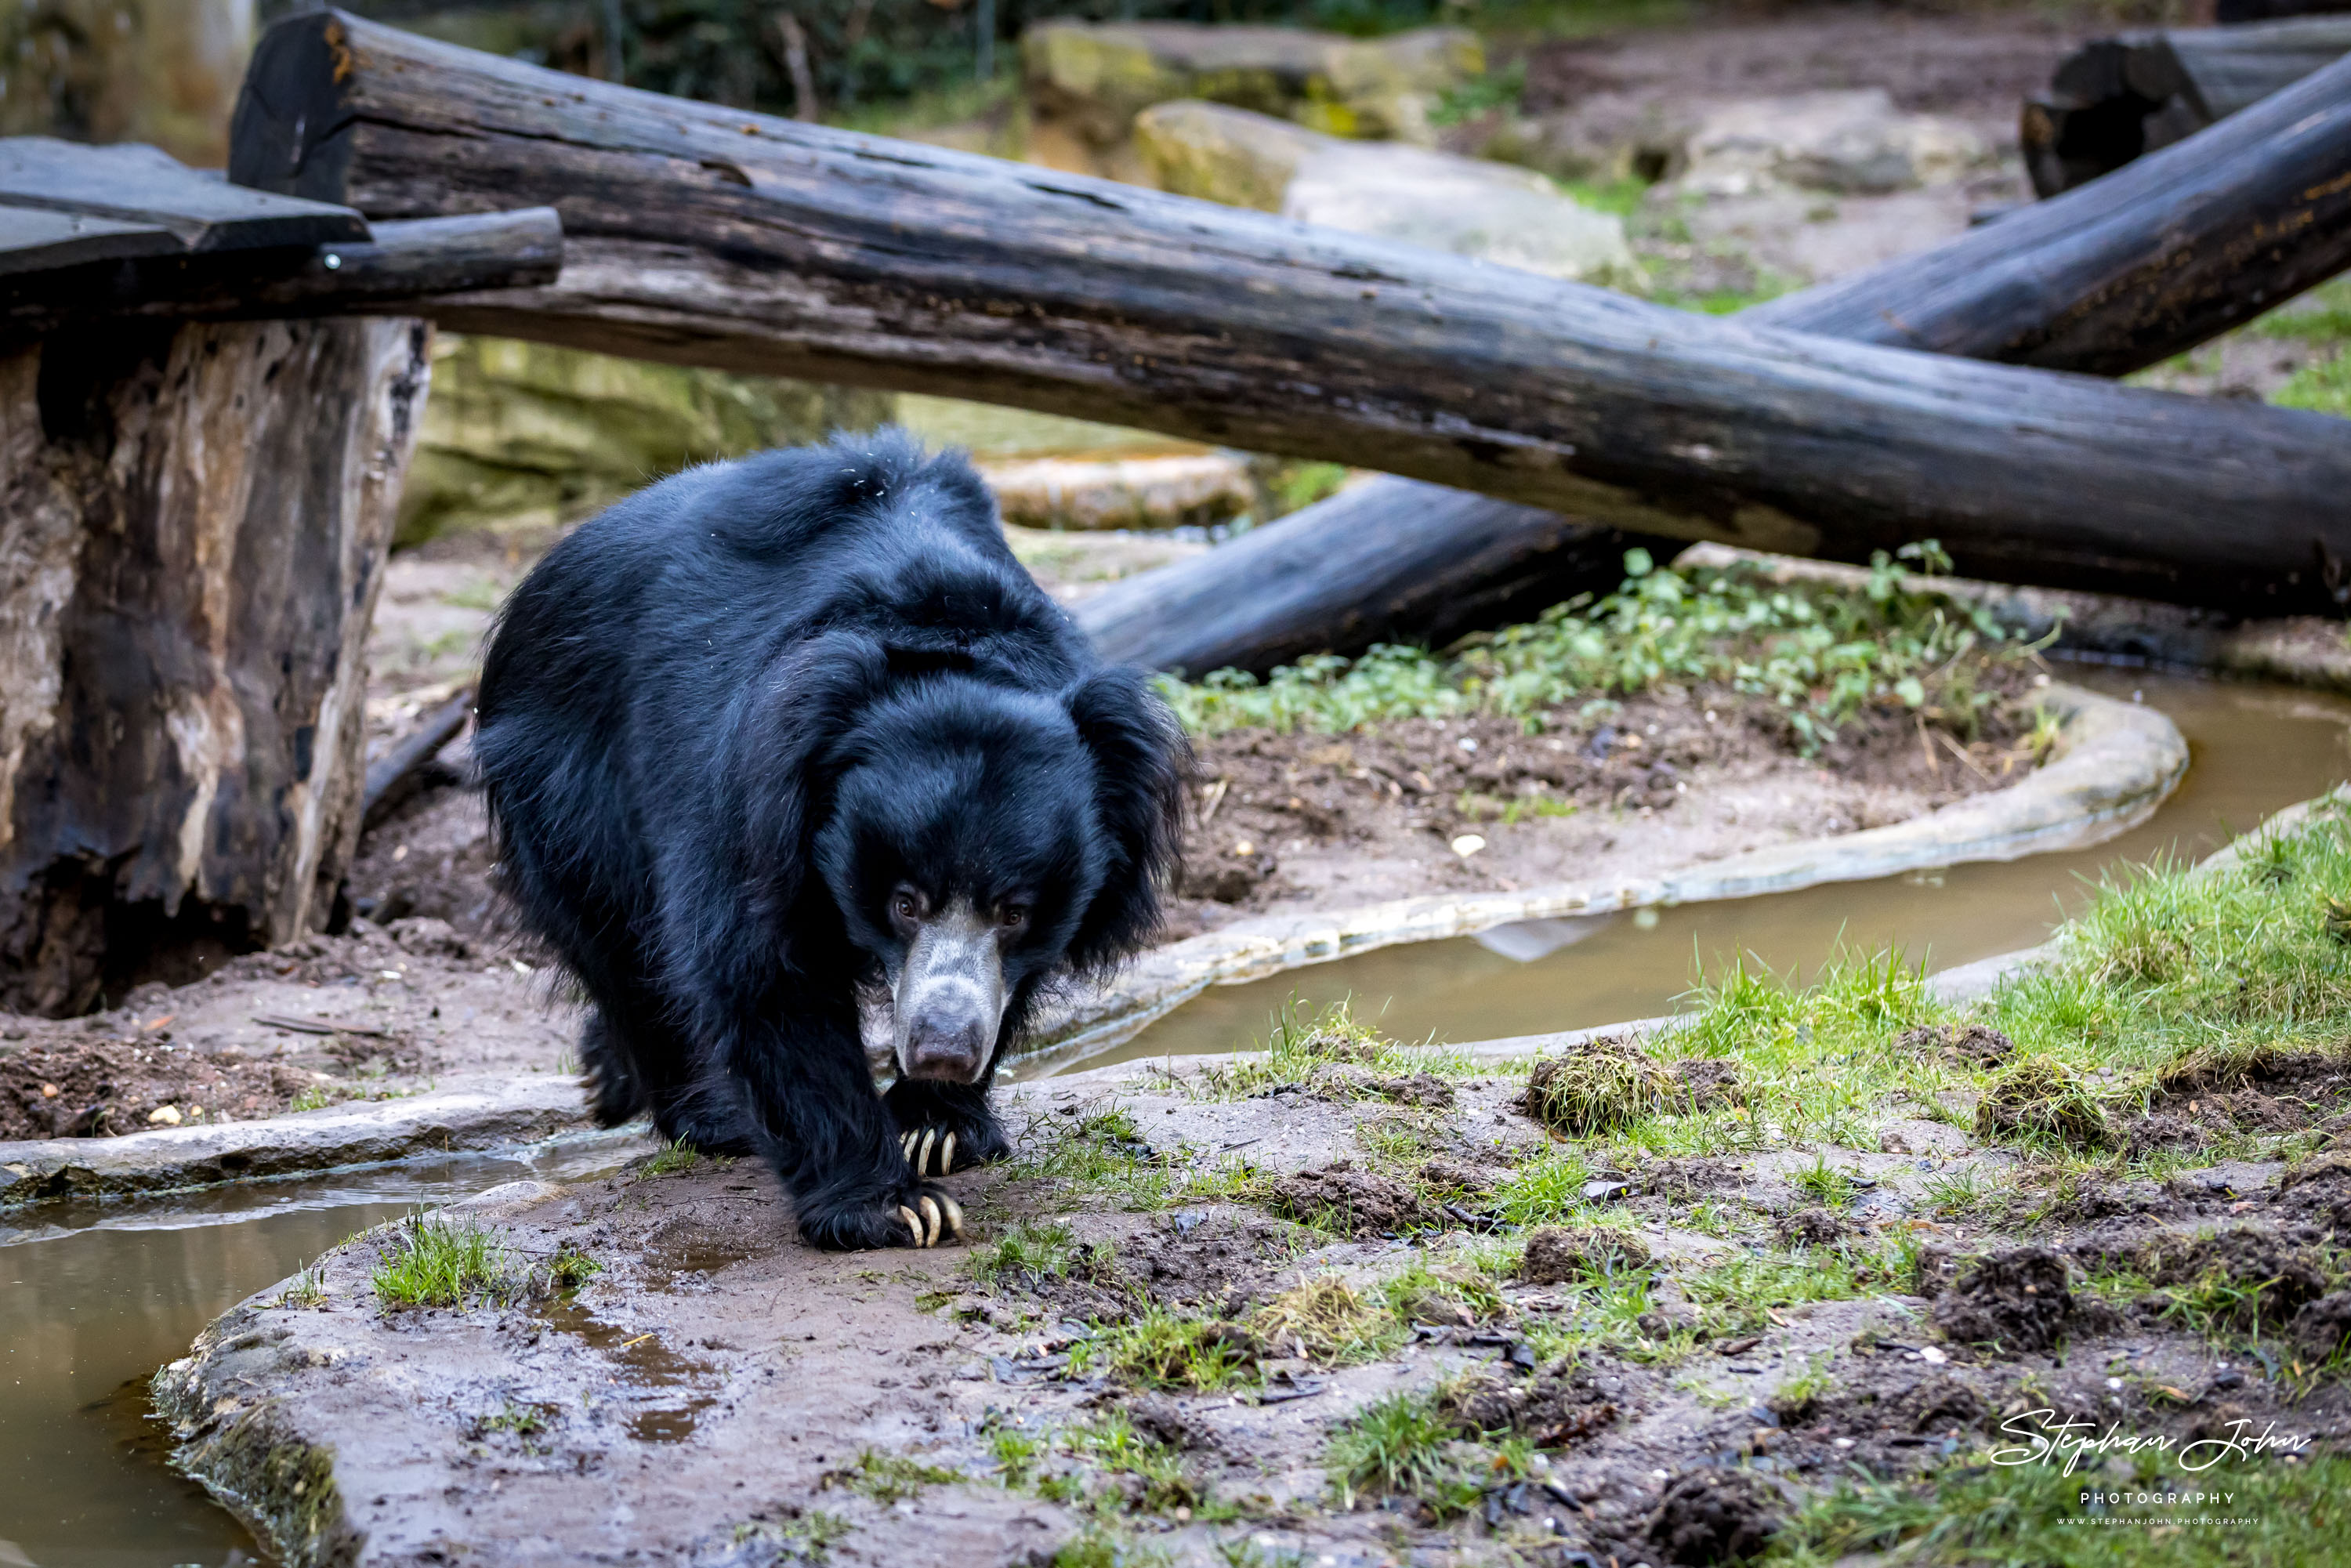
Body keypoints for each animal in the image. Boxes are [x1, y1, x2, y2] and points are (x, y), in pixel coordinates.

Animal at [470, 425, 1185, 1251]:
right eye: (905, 902)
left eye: (1014, 912)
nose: (943, 1048)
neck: (946, 643)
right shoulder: (755, 786)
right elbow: (762, 967)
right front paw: (893, 1204)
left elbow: (1011, 980)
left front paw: (935, 1127)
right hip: (568, 786)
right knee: (625, 949)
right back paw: (709, 1114)